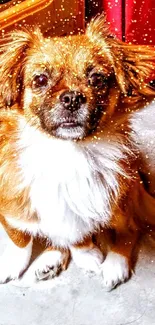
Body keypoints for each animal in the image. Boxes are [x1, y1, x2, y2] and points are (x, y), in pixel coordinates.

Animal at [0, 15, 155, 288]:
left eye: (97, 79)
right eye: (40, 80)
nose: (72, 98)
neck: (65, 153)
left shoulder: (89, 204)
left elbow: (78, 235)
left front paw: (87, 255)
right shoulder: (9, 206)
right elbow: (20, 238)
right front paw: (13, 263)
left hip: (119, 200)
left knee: (131, 229)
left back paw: (115, 264)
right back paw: (50, 259)